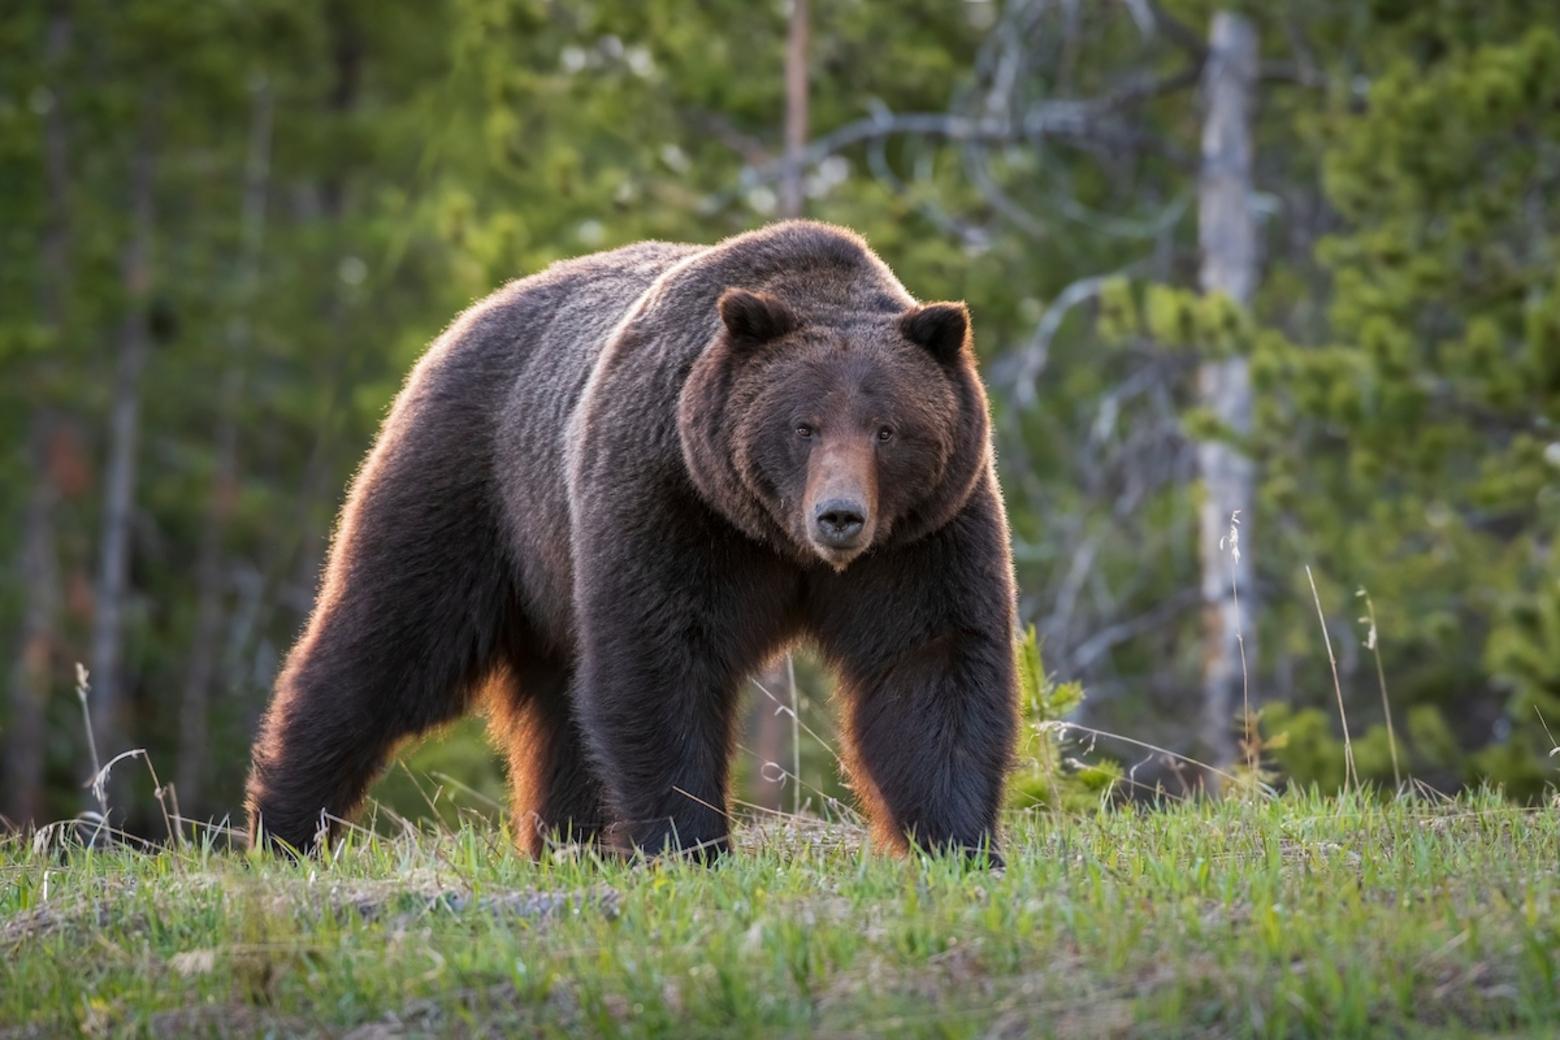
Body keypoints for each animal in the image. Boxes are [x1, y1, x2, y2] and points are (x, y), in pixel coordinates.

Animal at [244, 219, 1017, 860]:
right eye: (803, 425)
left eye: (888, 429)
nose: (839, 516)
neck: (775, 539)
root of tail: (474, 313)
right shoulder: (667, 494)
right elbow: (657, 659)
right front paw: (689, 844)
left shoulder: (922, 535)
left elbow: (930, 662)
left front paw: (957, 843)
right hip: (474, 484)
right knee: (387, 644)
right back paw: (282, 826)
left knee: (555, 702)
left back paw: (566, 841)